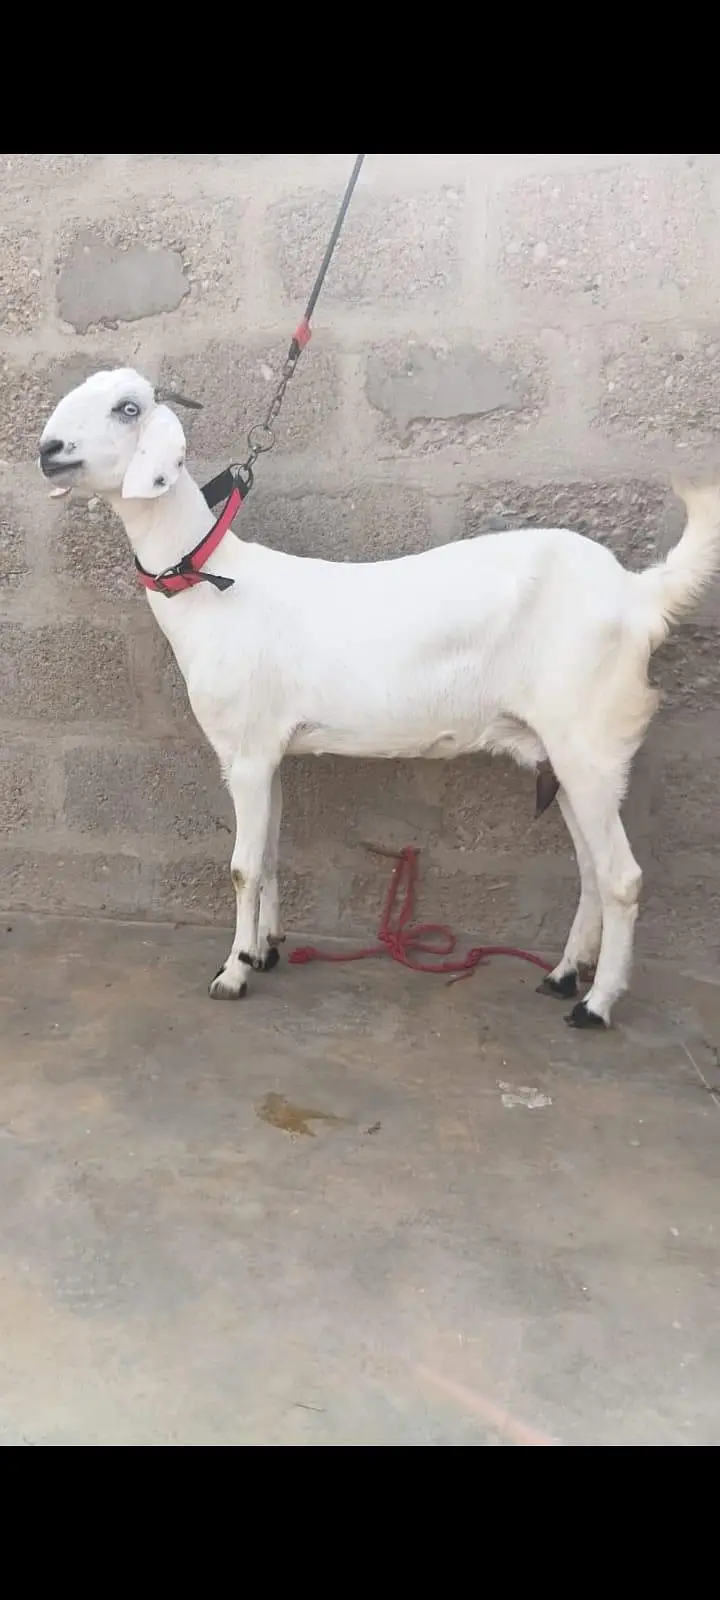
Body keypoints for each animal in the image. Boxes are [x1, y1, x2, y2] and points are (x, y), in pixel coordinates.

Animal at [39, 367, 720, 1027]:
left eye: (128, 408)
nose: (49, 451)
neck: (212, 584)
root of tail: (639, 594)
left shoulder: (248, 752)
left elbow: (241, 866)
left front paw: (232, 973)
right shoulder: (265, 752)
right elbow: (270, 854)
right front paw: (265, 950)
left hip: (590, 738)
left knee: (622, 878)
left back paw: (595, 1006)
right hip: (564, 752)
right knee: (592, 871)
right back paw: (562, 976)